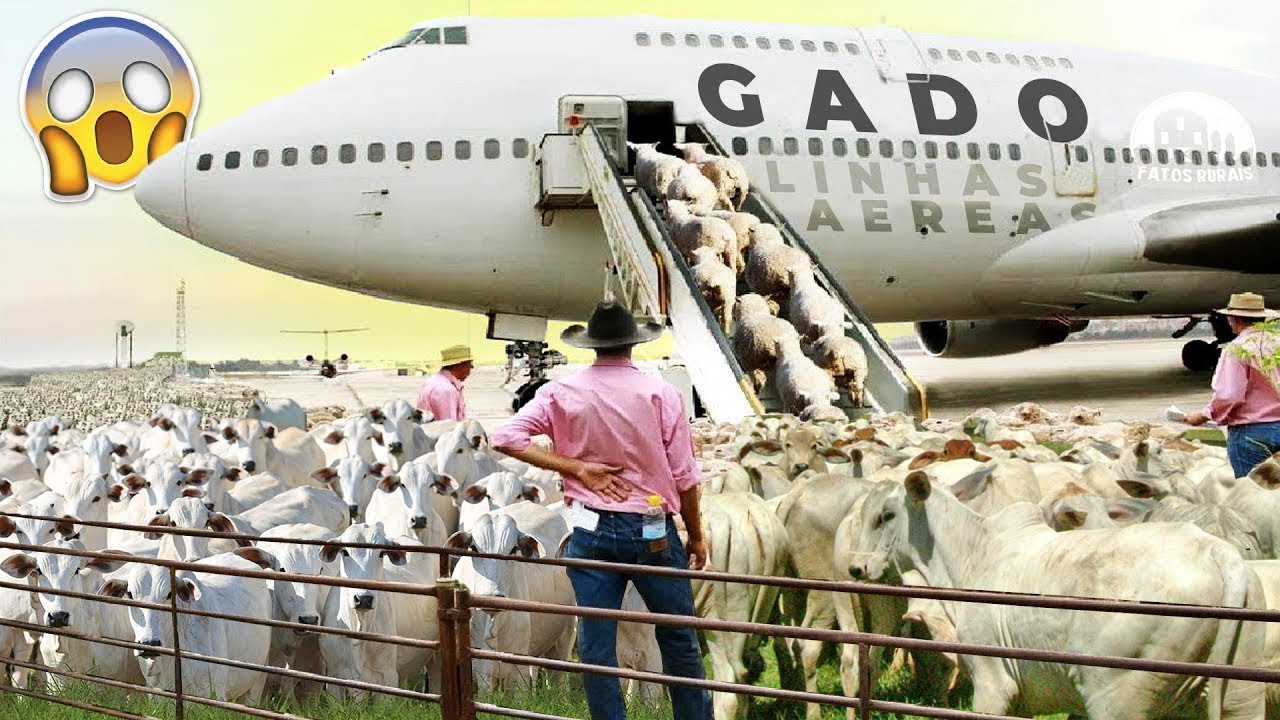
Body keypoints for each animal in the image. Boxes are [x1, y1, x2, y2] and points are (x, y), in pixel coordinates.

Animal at [855, 471, 1264, 717]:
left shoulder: (993, 682)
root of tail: (1216, 549)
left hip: (1117, 697)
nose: (856, 568)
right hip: (1241, 696)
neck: (972, 554)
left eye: (886, 515)